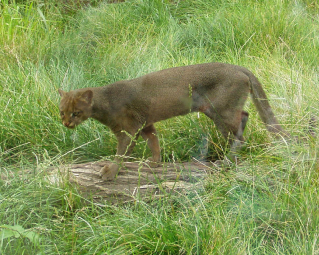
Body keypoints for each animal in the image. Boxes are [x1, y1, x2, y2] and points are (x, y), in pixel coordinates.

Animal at [58, 62, 288, 180]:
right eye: (62, 112)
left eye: (76, 113)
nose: (66, 124)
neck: (104, 101)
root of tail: (239, 67)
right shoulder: (145, 124)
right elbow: (154, 142)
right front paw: (154, 162)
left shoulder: (128, 130)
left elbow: (121, 153)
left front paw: (110, 172)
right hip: (214, 111)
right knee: (244, 117)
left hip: (222, 112)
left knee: (240, 134)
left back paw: (228, 159)